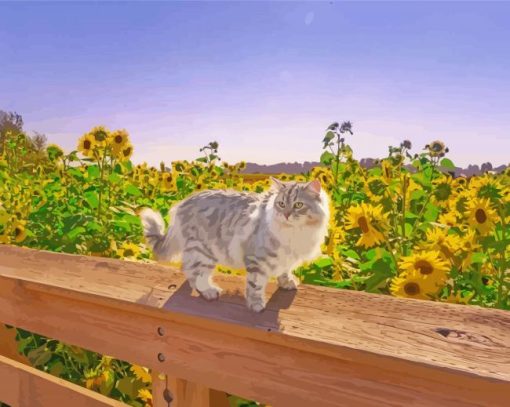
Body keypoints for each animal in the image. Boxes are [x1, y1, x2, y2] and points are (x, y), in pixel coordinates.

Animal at [139, 177, 330, 314]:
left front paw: (287, 283)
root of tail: (183, 202)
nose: (286, 215)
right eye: (281, 204)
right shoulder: (257, 259)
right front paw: (256, 305)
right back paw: (208, 292)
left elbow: (284, 270)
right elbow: (255, 285)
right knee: (195, 272)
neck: (294, 233)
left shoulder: (287, 256)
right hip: (202, 251)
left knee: (188, 269)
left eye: (298, 205)